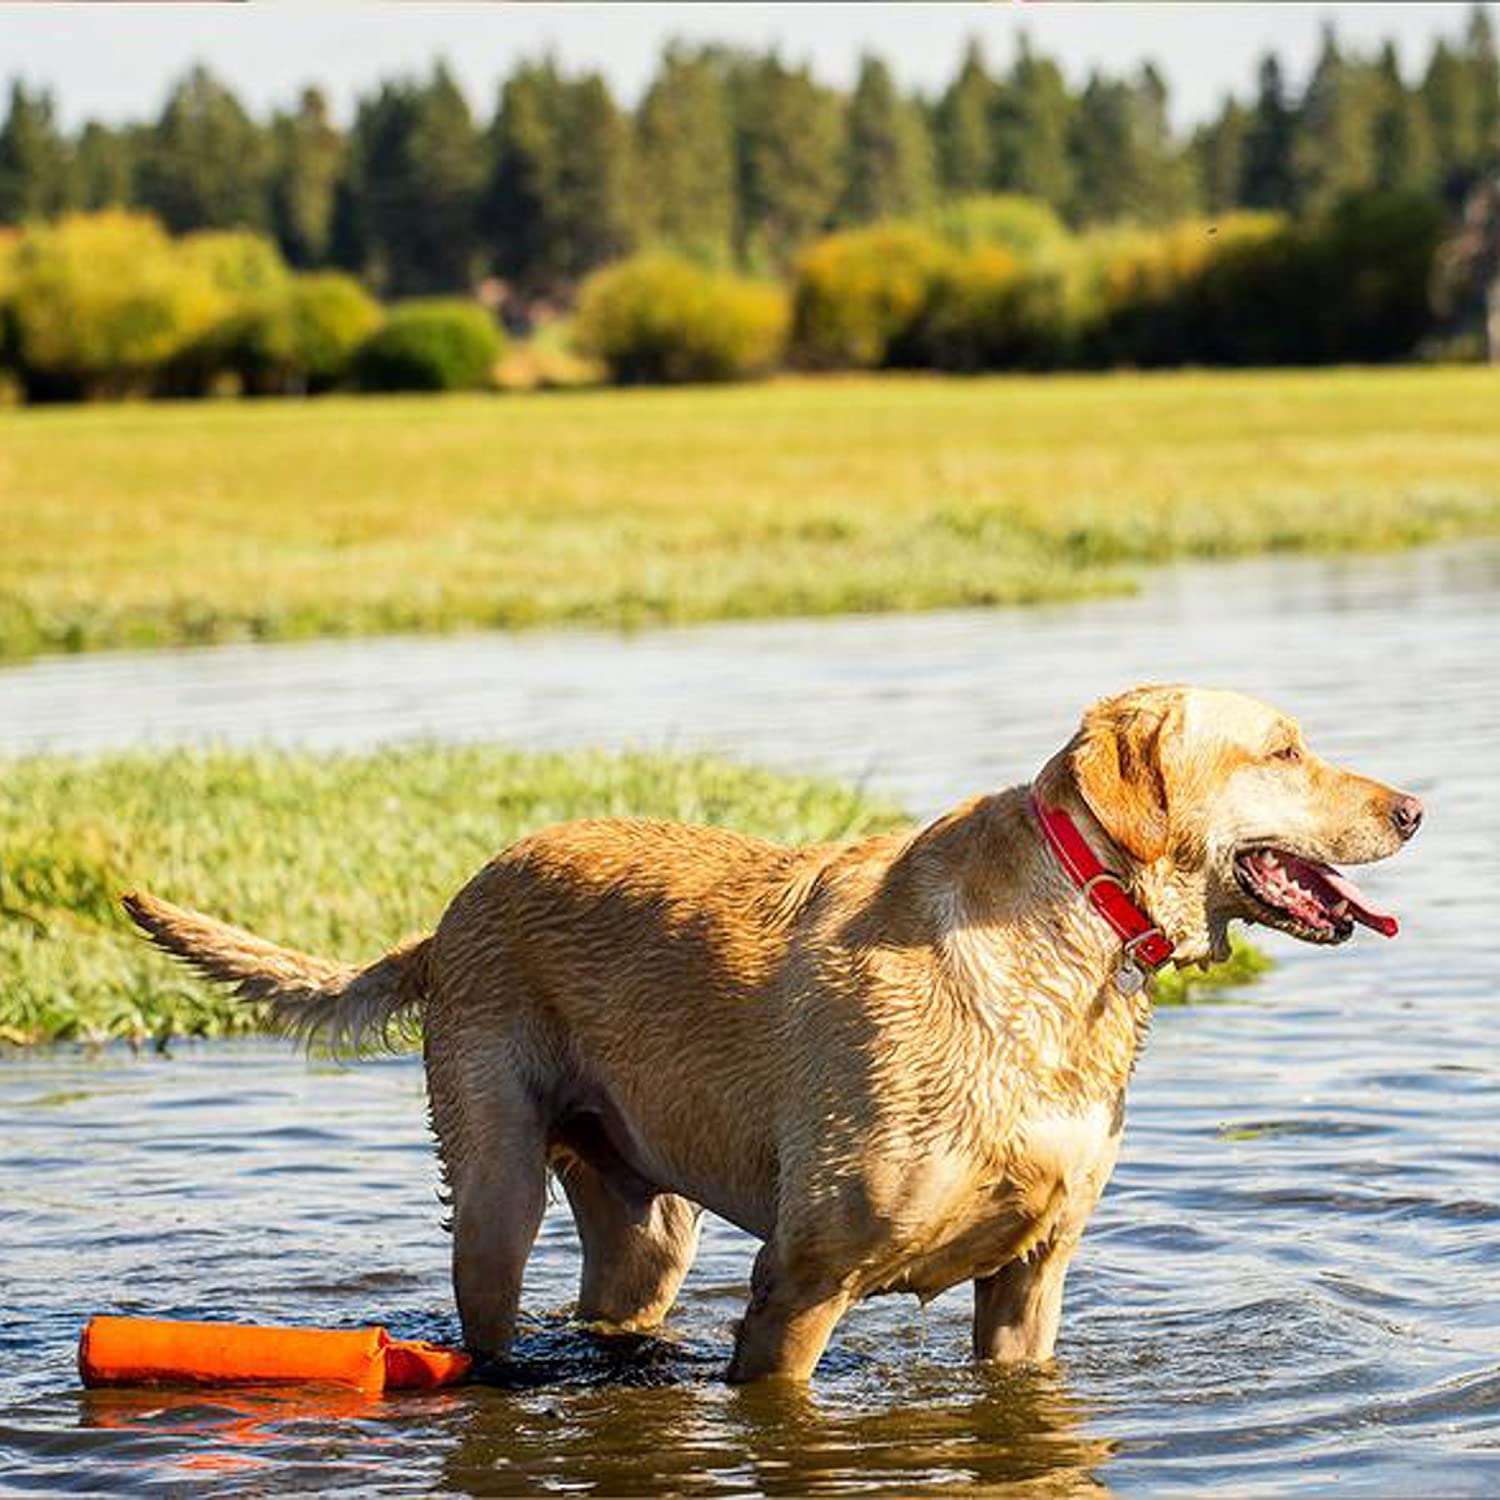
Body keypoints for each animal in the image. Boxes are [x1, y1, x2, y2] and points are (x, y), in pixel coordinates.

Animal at [126, 687, 1416, 1380]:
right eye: (1283, 749)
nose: (1414, 807)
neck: (1065, 941)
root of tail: (448, 914)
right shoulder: (799, 1280)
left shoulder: (1031, 1280)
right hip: (495, 1186)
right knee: (487, 1309)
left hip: (646, 1227)